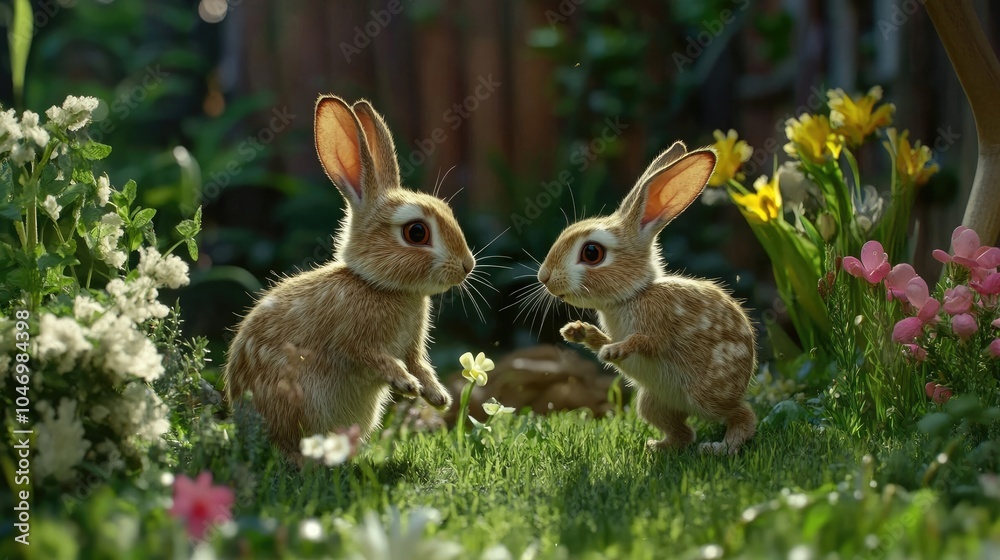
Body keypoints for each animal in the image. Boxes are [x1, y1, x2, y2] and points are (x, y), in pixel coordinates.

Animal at [223, 95, 474, 456]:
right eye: (416, 233)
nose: (467, 265)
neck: (379, 286)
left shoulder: (412, 348)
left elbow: (419, 363)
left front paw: (437, 396)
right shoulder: (352, 341)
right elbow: (374, 358)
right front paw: (406, 384)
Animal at [536, 142, 757, 454]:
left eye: (592, 253)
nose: (544, 277)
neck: (632, 296)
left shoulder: (658, 322)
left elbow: (645, 341)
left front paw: (613, 351)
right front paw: (577, 332)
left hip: (707, 395)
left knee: (742, 415)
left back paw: (720, 447)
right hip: (651, 402)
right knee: (682, 432)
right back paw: (657, 446)